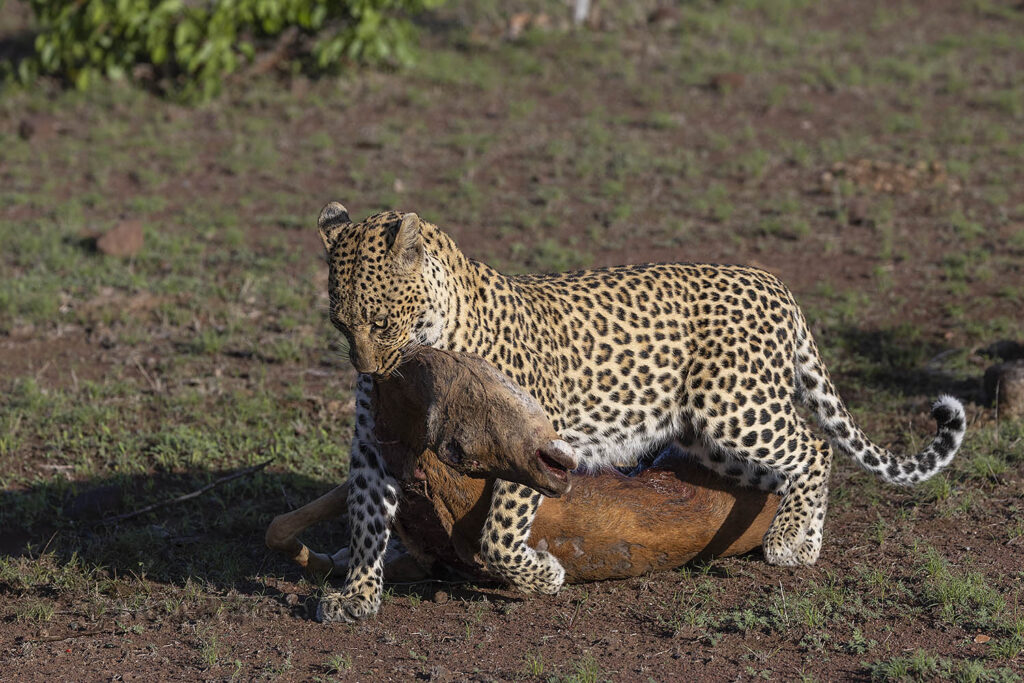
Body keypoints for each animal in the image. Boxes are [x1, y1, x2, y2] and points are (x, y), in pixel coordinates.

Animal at [313, 202, 966, 623]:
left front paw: (543, 576)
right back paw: (805, 537)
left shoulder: (536, 440)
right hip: (708, 438)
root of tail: (773, 283)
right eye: (342, 326)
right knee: (776, 474)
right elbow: (366, 519)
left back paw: (790, 544)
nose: (370, 370)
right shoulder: (372, 448)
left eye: (380, 321)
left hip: (735, 405)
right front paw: (357, 595)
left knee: (816, 446)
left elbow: (496, 535)